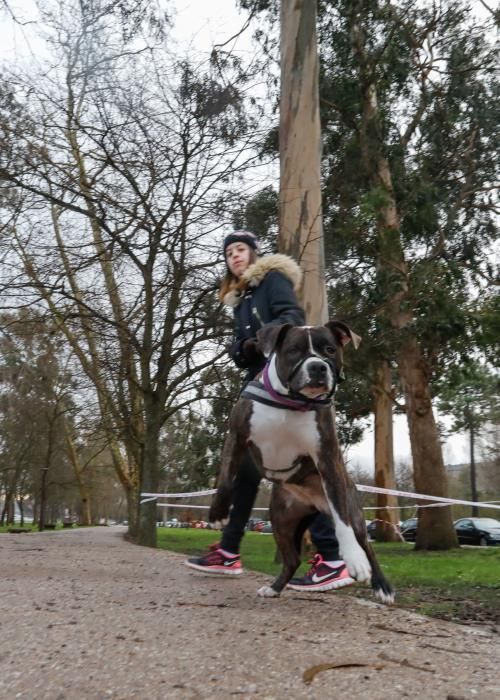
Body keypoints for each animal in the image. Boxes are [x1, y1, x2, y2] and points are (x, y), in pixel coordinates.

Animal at [208, 320, 394, 604]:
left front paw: (354, 560)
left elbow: (343, 524)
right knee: (292, 559)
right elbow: (227, 478)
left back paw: (382, 586)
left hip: (352, 508)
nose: (317, 366)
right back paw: (274, 588)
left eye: (329, 349)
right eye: (293, 350)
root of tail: (313, 502)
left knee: (366, 545)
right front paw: (218, 512)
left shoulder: (328, 459)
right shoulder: (237, 436)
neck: (290, 401)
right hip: (281, 519)